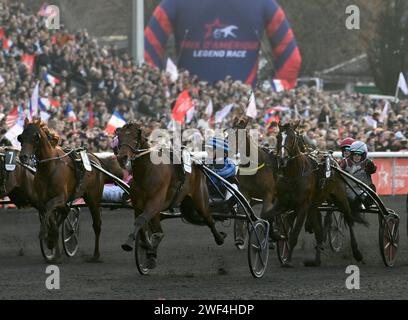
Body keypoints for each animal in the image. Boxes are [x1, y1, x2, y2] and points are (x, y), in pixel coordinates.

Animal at [18, 119, 105, 262]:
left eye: (35, 137)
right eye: (21, 137)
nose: (23, 157)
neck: (49, 168)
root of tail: (95, 159)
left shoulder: (59, 198)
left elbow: (50, 208)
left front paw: (44, 233)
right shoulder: (42, 200)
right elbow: (51, 220)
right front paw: (52, 245)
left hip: (93, 198)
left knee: (97, 225)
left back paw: (96, 255)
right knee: (66, 211)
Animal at [116, 122, 228, 270]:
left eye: (134, 137)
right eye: (120, 137)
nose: (122, 157)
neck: (147, 172)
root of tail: (196, 162)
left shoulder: (155, 201)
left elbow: (140, 221)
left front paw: (129, 243)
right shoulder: (139, 205)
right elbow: (142, 226)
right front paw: (147, 248)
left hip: (200, 198)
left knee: (209, 220)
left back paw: (220, 238)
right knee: (159, 230)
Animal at [266, 122, 368, 268]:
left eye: (292, 137)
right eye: (278, 136)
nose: (282, 158)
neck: (294, 174)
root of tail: (335, 163)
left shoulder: (302, 206)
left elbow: (294, 234)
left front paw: (288, 260)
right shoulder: (283, 202)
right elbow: (267, 216)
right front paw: (276, 236)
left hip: (339, 197)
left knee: (349, 219)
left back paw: (357, 253)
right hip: (315, 205)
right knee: (319, 232)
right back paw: (316, 260)